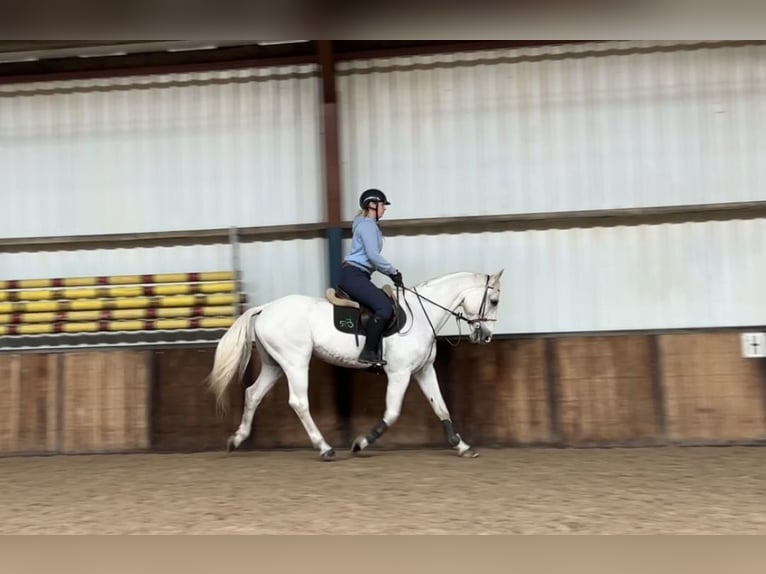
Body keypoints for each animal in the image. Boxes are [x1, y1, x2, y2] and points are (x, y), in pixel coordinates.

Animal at [206, 270, 504, 464]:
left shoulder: (423, 370)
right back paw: (325, 448)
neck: (421, 315)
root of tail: (265, 308)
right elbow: (392, 413)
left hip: (275, 364)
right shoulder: (400, 373)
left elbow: (441, 407)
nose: (486, 336)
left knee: (253, 394)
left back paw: (236, 440)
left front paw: (462, 446)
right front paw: (361, 443)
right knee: (299, 402)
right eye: (494, 301)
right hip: (295, 361)